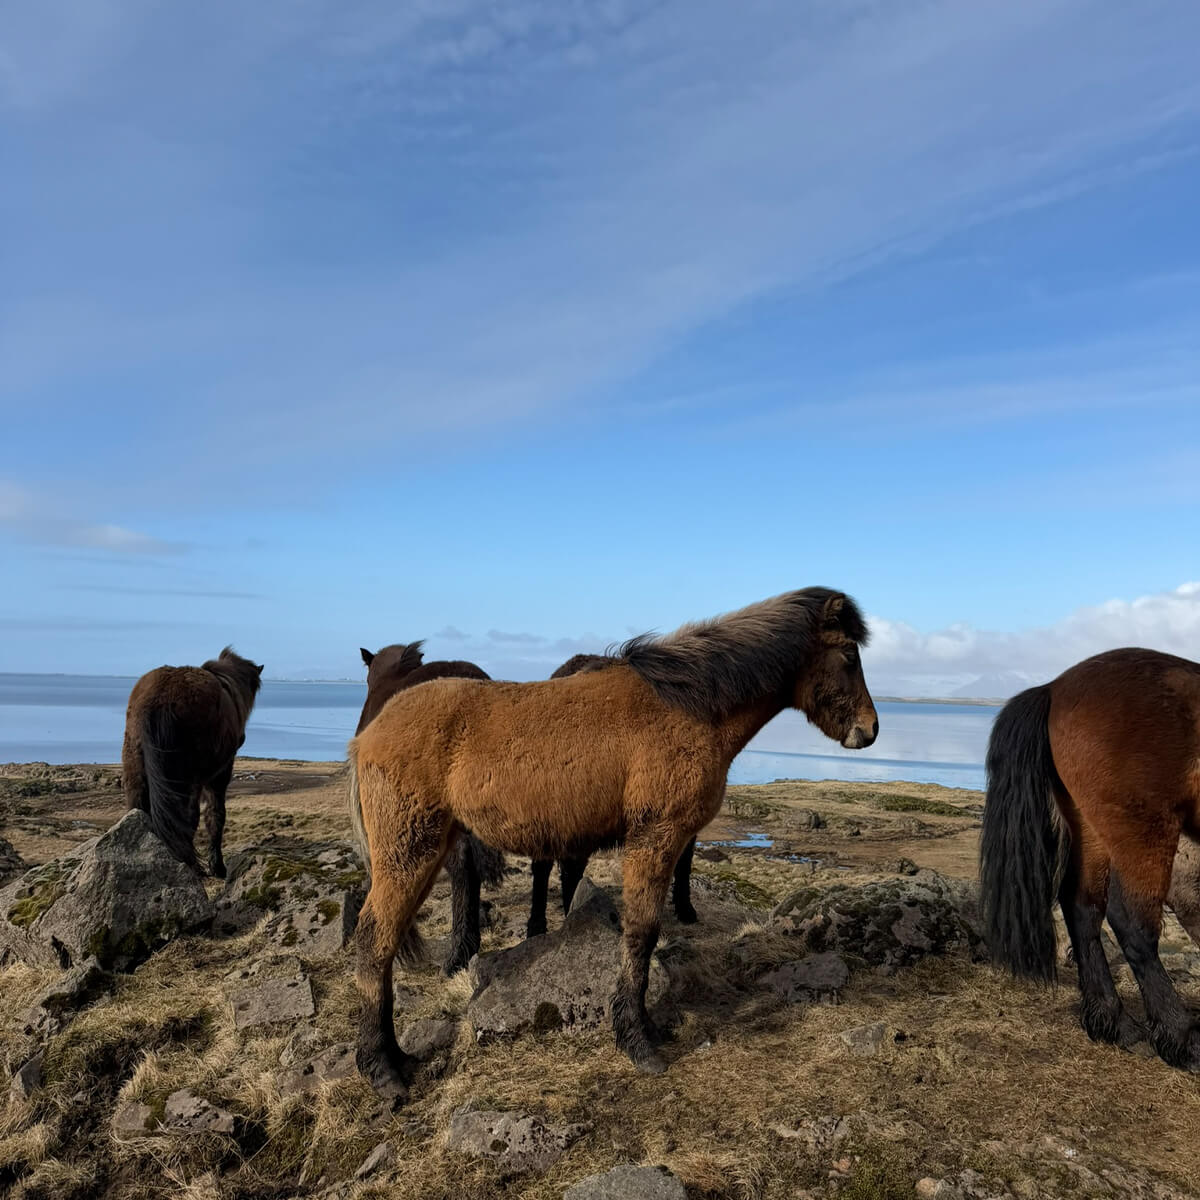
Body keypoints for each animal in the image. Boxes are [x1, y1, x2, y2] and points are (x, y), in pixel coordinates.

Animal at [122, 646, 263, 876]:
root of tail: (159, 699)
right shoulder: (219, 774)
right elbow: (214, 815)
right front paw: (217, 866)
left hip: (136, 768)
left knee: (137, 810)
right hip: (187, 779)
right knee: (186, 818)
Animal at [980, 647, 1200, 1071]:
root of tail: (1054, 688)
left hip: (1091, 828)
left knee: (1082, 908)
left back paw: (1114, 1022)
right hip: (1144, 830)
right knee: (1132, 923)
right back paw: (1180, 1037)